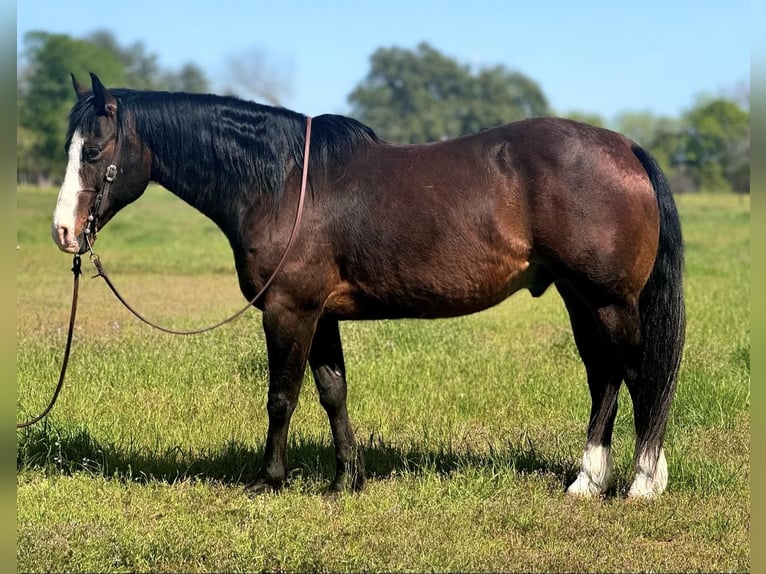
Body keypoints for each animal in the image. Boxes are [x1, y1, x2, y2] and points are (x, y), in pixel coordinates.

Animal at [54, 73, 688, 500]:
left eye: (94, 149)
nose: (64, 232)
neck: (283, 182)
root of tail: (625, 147)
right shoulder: (321, 314)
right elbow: (332, 391)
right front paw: (346, 481)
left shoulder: (288, 311)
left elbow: (281, 395)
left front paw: (269, 481)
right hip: (580, 298)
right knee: (604, 377)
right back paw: (587, 481)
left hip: (608, 301)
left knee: (638, 376)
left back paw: (641, 483)